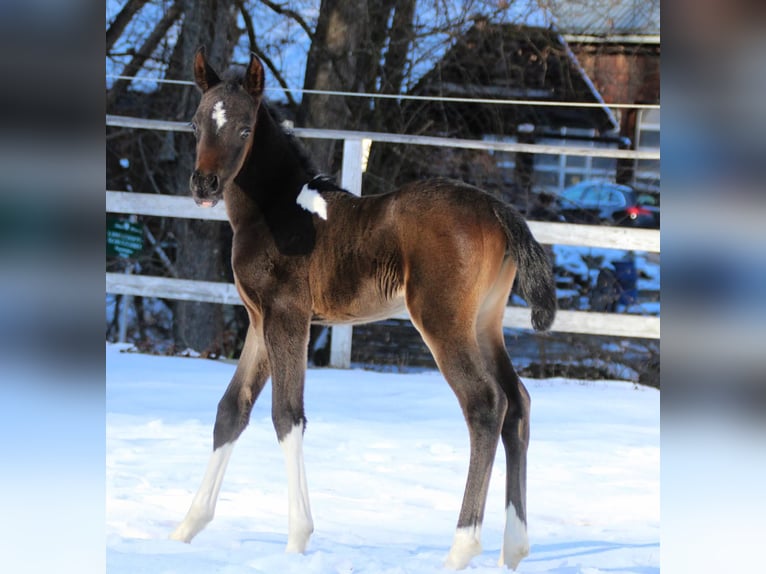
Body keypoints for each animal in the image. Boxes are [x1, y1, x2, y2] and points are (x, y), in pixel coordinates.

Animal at [170, 47, 557, 571]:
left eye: (245, 129)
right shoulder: (258, 320)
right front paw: (186, 528)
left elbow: (287, 414)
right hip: (484, 324)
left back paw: (462, 545)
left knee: (485, 403)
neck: (277, 212)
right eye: (195, 124)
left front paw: (297, 539)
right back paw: (513, 547)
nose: (204, 185)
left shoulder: (288, 317)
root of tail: (497, 209)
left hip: (441, 320)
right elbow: (232, 409)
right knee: (517, 403)